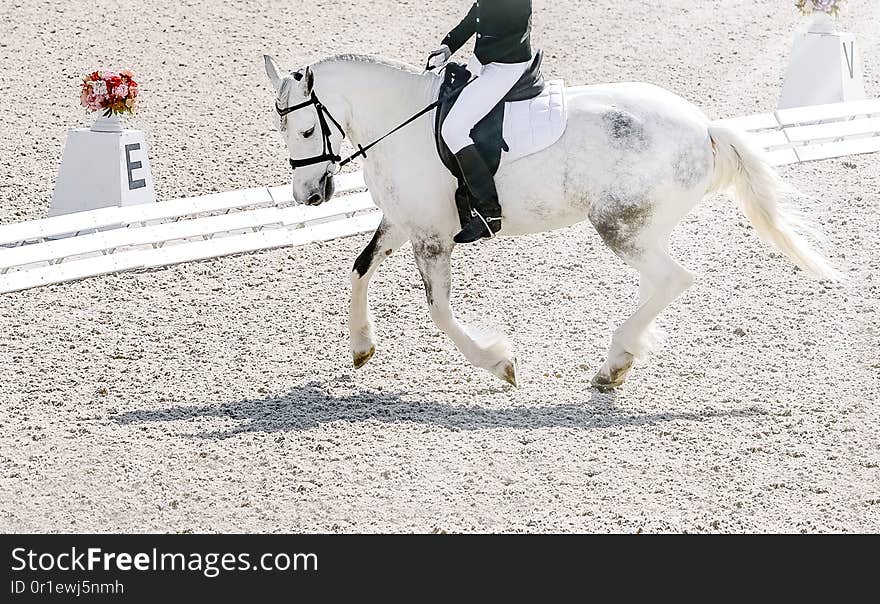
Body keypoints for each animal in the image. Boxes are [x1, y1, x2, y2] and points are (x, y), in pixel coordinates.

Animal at [262, 53, 840, 392]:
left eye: (308, 130)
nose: (308, 195)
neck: (397, 124)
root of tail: (704, 128)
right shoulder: (404, 222)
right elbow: (359, 268)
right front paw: (361, 346)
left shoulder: (431, 237)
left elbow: (441, 313)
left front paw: (498, 362)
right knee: (664, 282)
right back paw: (619, 361)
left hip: (618, 225)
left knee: (674, 279)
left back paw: (612, 364)